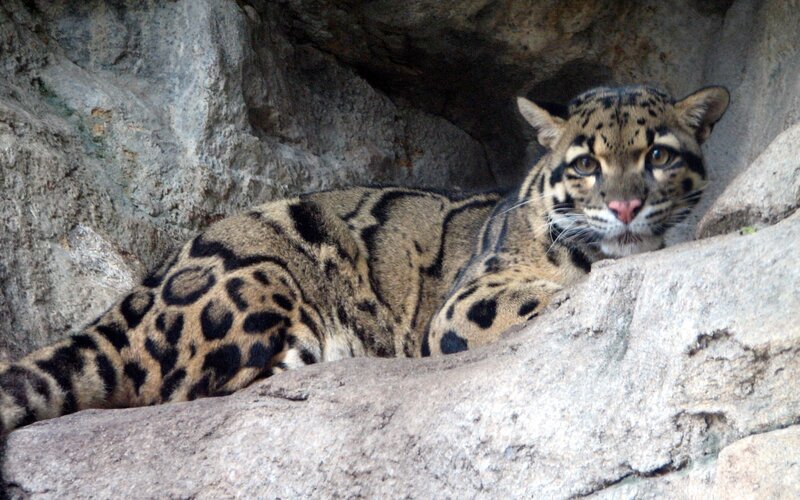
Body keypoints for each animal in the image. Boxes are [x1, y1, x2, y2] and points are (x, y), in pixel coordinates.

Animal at [0, 84, 729, 433]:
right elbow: (547, 294)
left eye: (658, 155)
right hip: (263, 287)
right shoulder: (466, 304)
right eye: (585, 164)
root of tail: (138, 295)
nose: (626, 207)